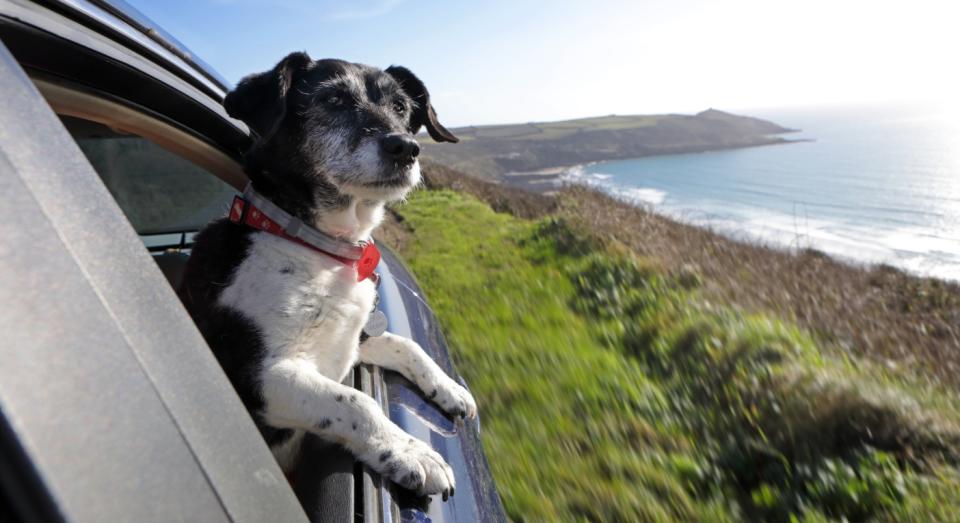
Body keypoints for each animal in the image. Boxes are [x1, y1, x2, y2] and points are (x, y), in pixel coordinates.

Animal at [177, 52, 476, 500]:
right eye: (333, 99)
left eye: (401, 108)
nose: (406, 147)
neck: (318, 249)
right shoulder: (257, 376)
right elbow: (355, 403)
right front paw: (412, 454)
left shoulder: (351, 342)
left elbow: (405, 346)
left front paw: (450, 389)